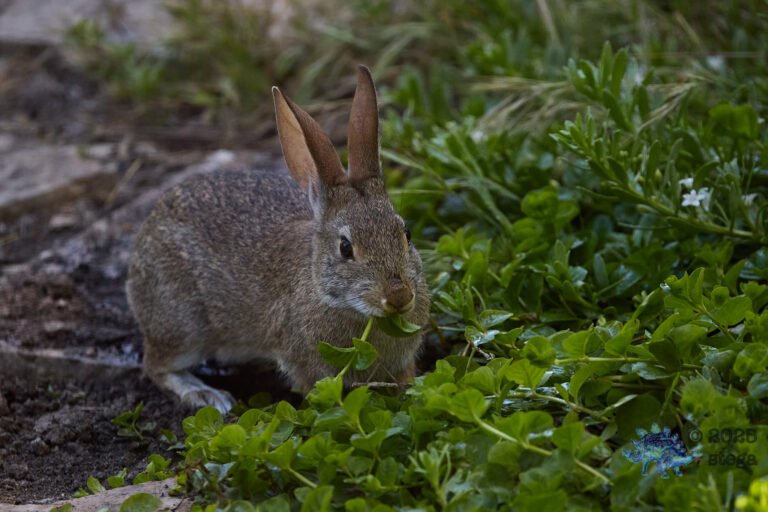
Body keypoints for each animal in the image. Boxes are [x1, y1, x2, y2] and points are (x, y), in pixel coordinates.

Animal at [126, 66, 430, 413]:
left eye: (405, 233)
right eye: (345, 248)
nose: (399, 296)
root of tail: (147, 230)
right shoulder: (304, 362)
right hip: (182, 322)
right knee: (156, 364)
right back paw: (206, 395)